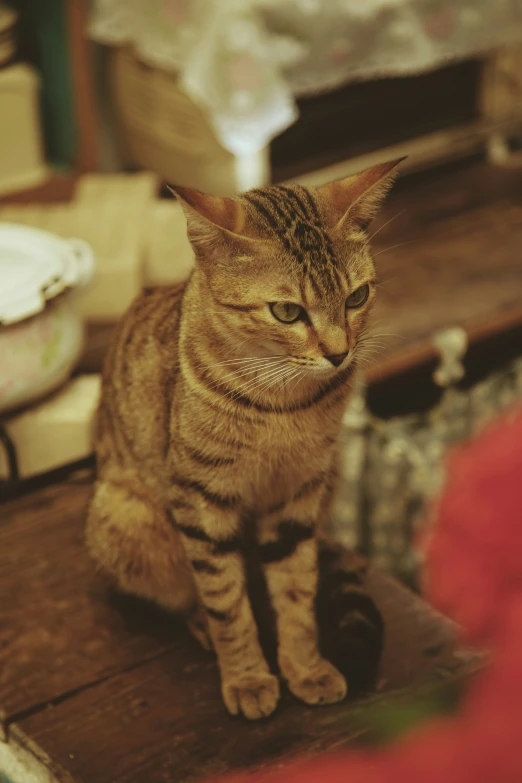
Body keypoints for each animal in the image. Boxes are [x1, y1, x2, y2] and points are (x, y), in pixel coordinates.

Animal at [86, 159, 402, 724]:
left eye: (357, 297)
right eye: (287, 312)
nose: (339, 354)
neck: (284, 404)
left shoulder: (299, 490)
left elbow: (296, 592)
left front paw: (305, 667)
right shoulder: (201, 501)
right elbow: (226, 604)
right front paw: (248, 677)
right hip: (127, 517)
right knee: (186, 593)